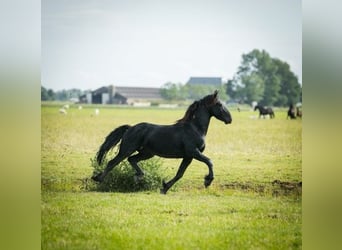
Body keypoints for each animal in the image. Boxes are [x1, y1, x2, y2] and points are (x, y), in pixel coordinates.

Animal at [91, 91, 232, 194]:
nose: (230, 119)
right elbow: (209, 161)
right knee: (113, 162)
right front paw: (208, 181)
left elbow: (180, 174)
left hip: (147, 153)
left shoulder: (188, 156)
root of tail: (130, 128)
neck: (194, 128)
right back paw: (98, 179)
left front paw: (164, 188)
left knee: (132, 160)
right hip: (127, 149)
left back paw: (139, 176)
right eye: (219, 105)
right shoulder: (193, 152)